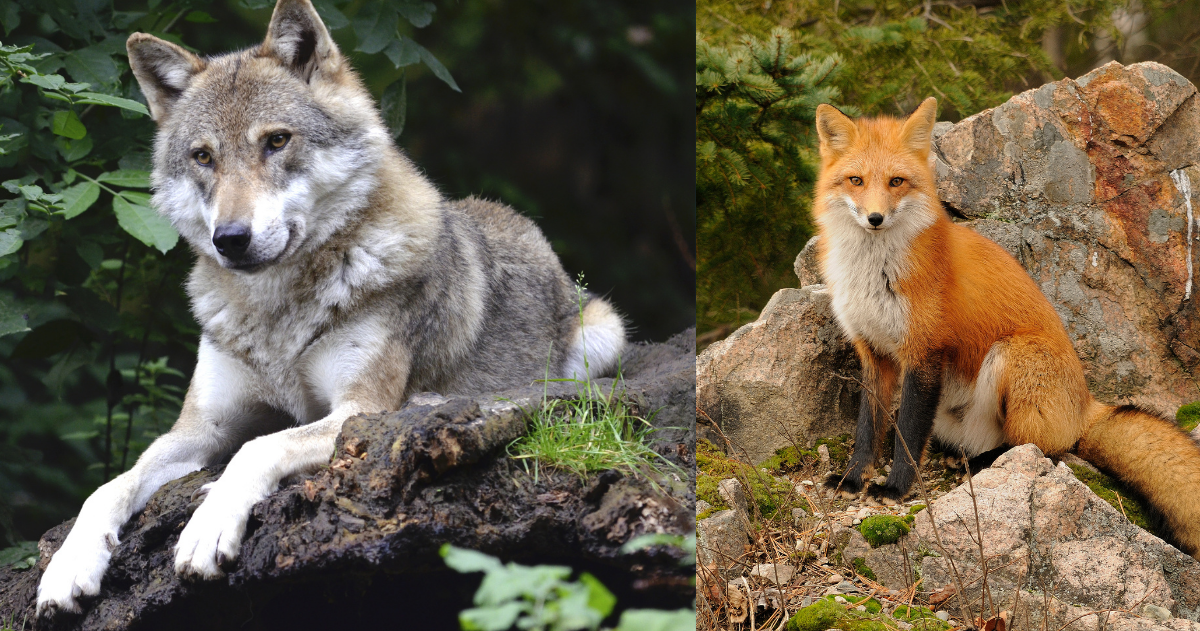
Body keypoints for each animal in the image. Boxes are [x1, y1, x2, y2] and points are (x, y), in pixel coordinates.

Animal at [35, 0, 627, 617]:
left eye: (276, 141)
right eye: (203, 157)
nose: (230, 239)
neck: (277, 313)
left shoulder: (357, 411)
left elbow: (257, 447)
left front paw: (207, 525)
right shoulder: (200, 427)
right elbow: (110, 485)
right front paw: (68, 566)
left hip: (602, 335)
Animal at [813, 97, 1200, 559]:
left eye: (896, 181)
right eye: (856, 180)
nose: (875, 218)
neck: (874, 274)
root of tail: (1086, 404)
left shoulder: (924, 352)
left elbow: (907, 431)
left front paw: (895, 489)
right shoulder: (873, 352)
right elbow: (867, 428)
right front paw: (853, 478)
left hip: (1012, 356)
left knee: (1040, 448)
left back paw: (986, 463)